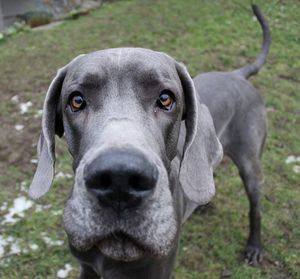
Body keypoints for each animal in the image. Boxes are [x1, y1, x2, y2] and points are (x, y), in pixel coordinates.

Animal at [29, 4, 270, 279]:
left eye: (166, 98)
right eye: (76, 100)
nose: (119, 179)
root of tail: (236, 74)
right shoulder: (87, 267)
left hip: (250, 161)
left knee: (255, 207)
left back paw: (254, 247)